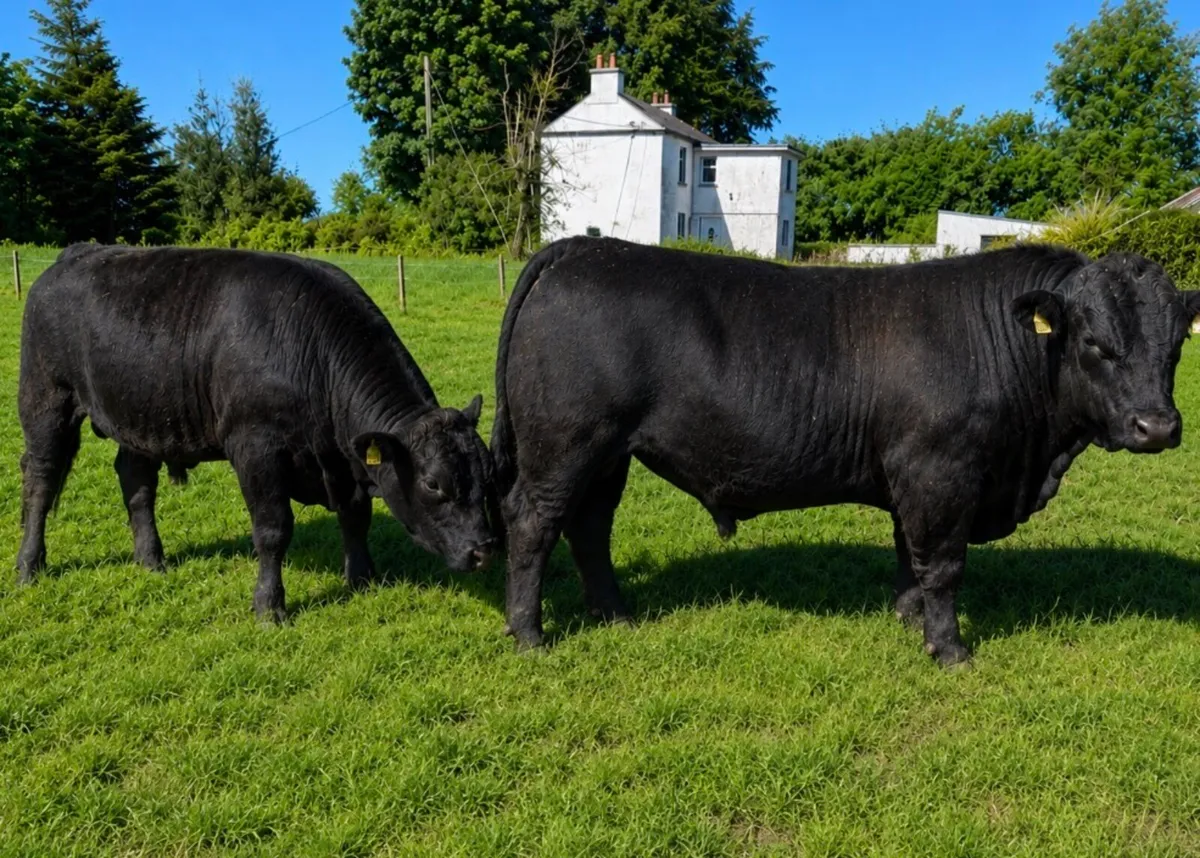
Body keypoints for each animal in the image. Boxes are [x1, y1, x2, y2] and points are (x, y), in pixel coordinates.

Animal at [16, 244, 497, 622]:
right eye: (433, 484)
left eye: (489, 473)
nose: (485, 549)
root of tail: (78, 252)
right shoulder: (255, 449)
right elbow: (273, 529)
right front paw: (270, 606)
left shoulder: (346, 463)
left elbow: (355, 517)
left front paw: (362, 579)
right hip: (46, 400)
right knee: (41, 480)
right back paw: (29, 565)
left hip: (141, 417)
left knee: (136, 483)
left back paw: (151, 558)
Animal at [490, 236, 1200, 667]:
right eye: (1095, 343)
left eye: (1175, 346)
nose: (1157, 426)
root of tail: (583, 246)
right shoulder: (940, 471)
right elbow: (944, 564)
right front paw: (950, 649)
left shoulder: (914, 477)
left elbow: (910, 557)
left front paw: (910, 622)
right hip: (565, 444)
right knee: (532, 522)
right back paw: (529, 634)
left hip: (609, 454)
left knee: (589, 527)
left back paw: (615, 615)